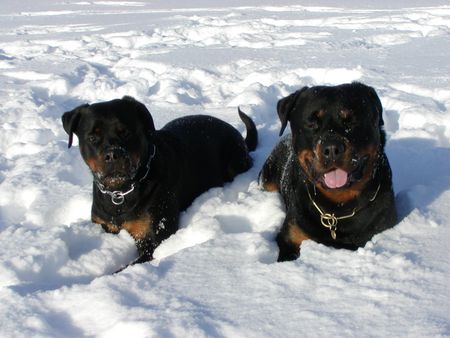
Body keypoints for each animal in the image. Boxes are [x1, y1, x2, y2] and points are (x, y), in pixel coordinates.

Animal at [62, 96, 256, 268]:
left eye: (126, 132)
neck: (121, 191)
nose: (113, 154)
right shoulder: (103, 224)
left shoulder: (152, 240)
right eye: (92, 138)